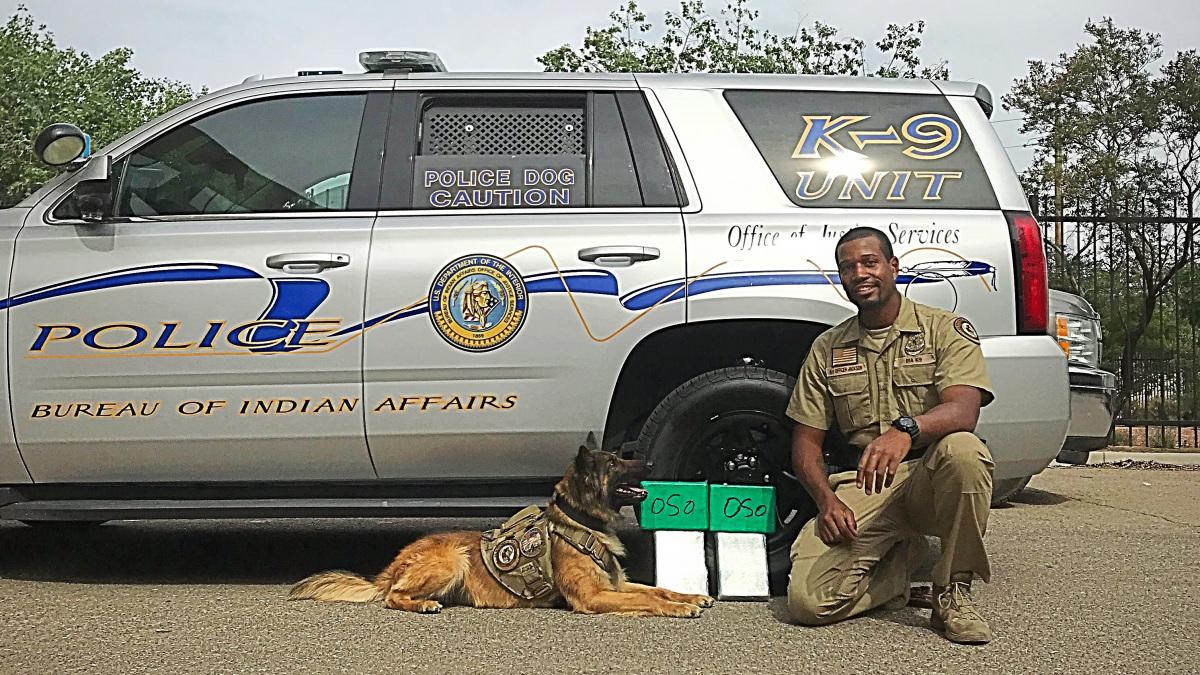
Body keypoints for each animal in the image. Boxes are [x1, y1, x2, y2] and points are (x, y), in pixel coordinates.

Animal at [291, 441, 715, 614]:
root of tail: (396, 562)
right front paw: (679, 609)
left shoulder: (616, 585)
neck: (581, 523)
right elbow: (650, 600)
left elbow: (660, 589)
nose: (649, 463)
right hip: (452, 560)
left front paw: (692, 597)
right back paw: (422, 603)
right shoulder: (595, 597)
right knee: (392, 596)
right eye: (613, 463)